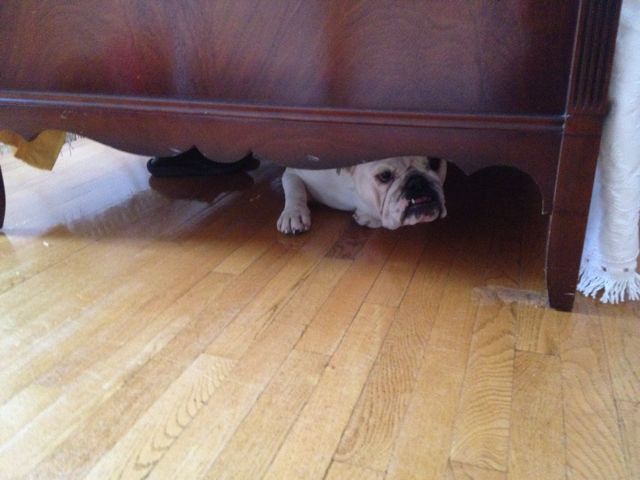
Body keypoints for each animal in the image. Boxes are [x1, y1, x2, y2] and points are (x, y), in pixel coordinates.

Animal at [277, 156, 447, 234]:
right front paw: (293, 214)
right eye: (385, 176)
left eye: (435, 162)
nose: (417, 182)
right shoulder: (296, 171)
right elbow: (295, 189)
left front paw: (366, 217)